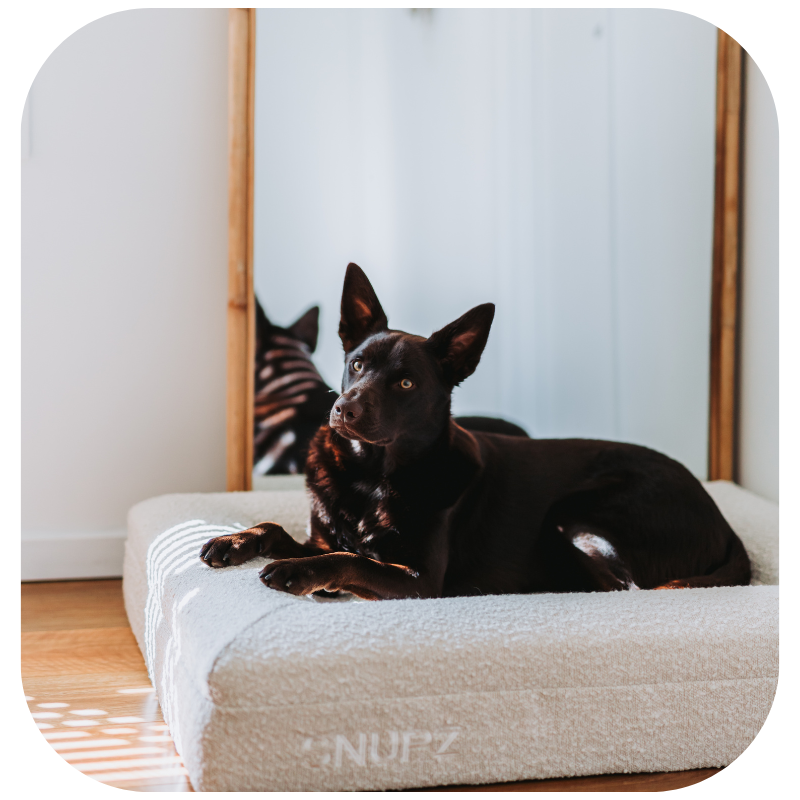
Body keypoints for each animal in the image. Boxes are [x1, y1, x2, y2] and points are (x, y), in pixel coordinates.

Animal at [202, 264, 752, 600]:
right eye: (356, 364)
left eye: (405, 382)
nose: (343, 410)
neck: (370, 475)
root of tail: (724, 523)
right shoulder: (322, 534)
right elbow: (284, 530)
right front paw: (236, 539)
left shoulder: (419, 581)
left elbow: (351, 560)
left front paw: (302, 574)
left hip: (578, 514)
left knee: (620, 590)